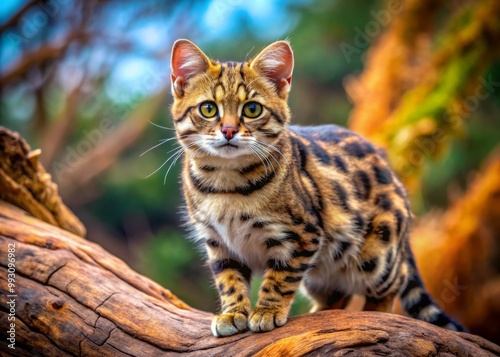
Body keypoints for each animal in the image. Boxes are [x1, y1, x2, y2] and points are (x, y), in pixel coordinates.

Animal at [169, 39, 464, 336]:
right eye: (208, 108)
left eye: (252, 109)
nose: (228, 130)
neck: (226, 186)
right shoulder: (218, 242)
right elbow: (228, 280)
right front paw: (232, 313)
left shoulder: (302, 235)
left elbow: (280, 279)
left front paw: (267, 311)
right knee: (337, 295)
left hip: (377, 253)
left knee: (394, 283)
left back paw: (374, 314)